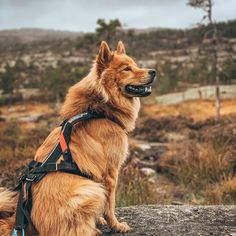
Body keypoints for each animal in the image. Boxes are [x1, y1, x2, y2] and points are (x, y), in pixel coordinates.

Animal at [0, 41, 155, 235]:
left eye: (135, 65)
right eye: (127, 69)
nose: (153, 71)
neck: (99, 110)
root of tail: (19, 221)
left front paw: (101, 220)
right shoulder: (110, 173)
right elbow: (110, 204)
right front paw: (116, 225)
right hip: (89, 189)